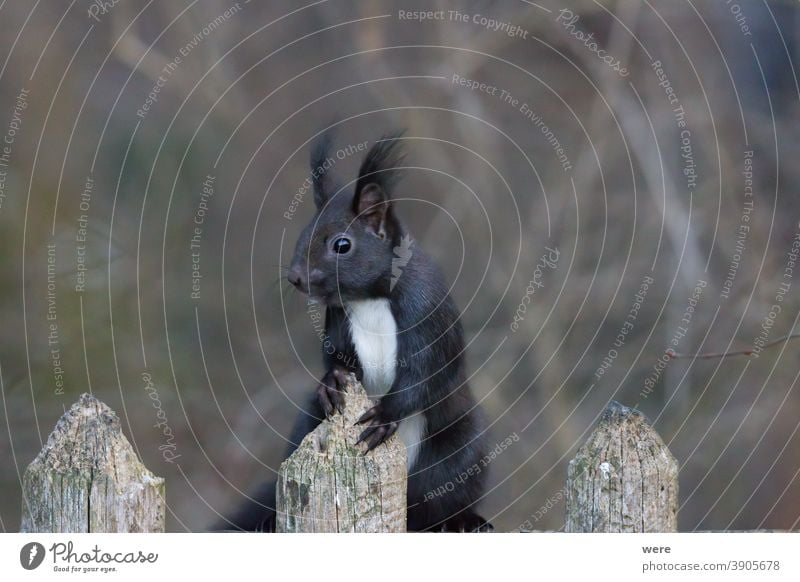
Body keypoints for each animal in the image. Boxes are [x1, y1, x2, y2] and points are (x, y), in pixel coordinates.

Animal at [222, 133, 490, 532]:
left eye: (342, 245)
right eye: (303, 234)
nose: (295, 278)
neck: (370, 298)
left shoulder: (426, 313)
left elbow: (425, 374)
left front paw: (383, 416)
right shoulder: (338, 321)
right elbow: (336, 357)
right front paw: (332, 382)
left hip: (459, 452)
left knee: (442, 498)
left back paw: (464, 521)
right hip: (308, 424)